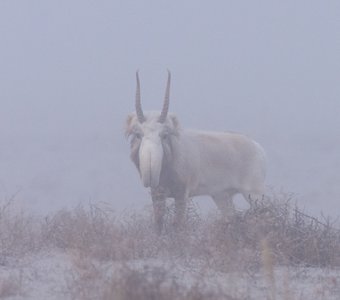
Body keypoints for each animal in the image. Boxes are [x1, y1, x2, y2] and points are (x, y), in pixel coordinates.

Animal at [125, 71, 266, 233]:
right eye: (138, 134)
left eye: (164, 134)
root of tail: (258, 147)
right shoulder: (157, 194)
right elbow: (158, 223)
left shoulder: (181, 194)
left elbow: (178, 225)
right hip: (222, 197)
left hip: (254, 193)